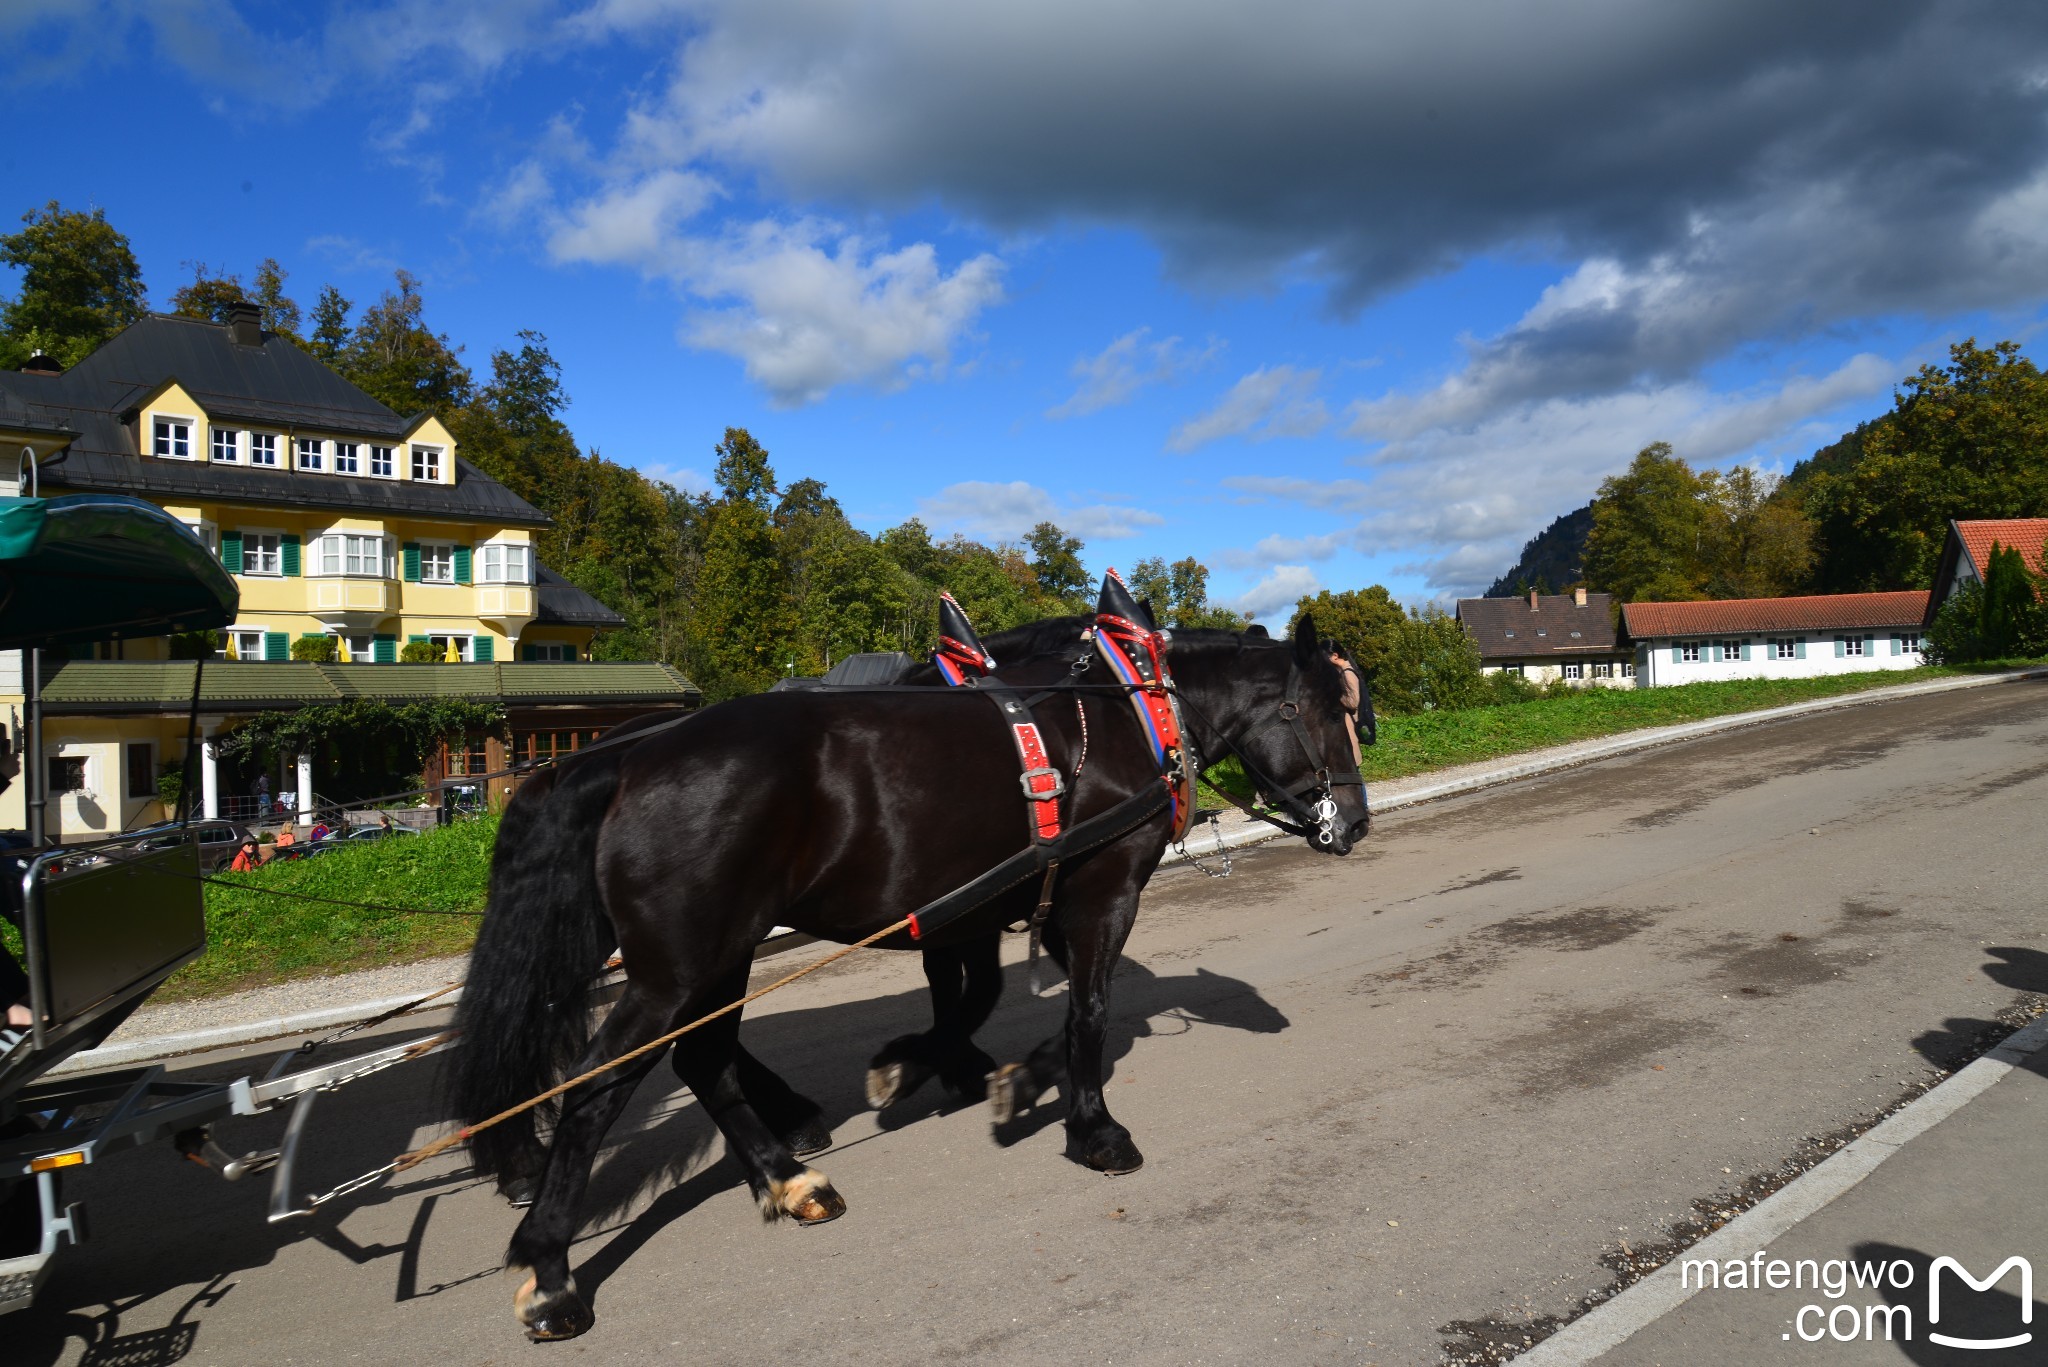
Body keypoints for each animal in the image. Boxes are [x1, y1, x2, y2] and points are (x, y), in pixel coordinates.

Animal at [454, 610, 1368, 1336]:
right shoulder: (1100, 892)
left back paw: (789, 1177)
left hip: (720, 955)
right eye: (1321, 711)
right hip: (677, 968)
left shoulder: (1006, 902)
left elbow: (998, 1006)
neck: (1125, 715)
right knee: (599, 1085)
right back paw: (552, 1270)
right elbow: (1086, 1012)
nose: (1353, 821)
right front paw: (1092, 1128)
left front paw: (990, 1078)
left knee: (704, 1059)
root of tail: (620, 760)